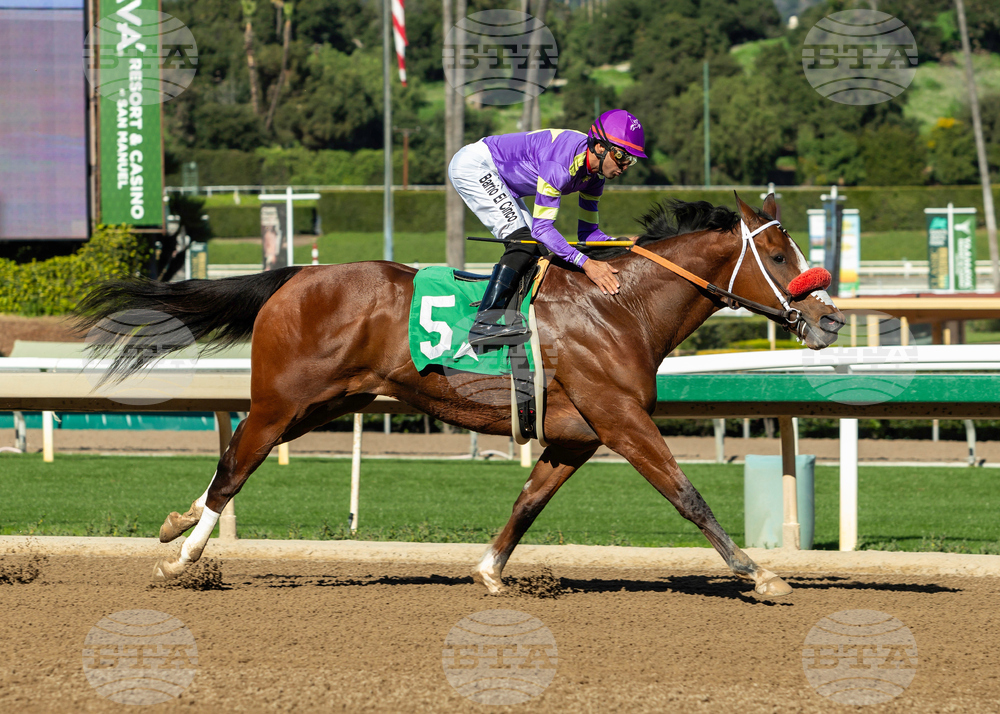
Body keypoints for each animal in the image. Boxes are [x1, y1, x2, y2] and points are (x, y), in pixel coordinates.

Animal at [77, 192, 844, 597]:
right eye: (781, 256)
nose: (830, 318)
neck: (619, 307)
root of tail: (295, 275)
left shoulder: (576, 435)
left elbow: (528, 504)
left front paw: (489, 572)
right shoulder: (621, 419)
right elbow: (688, 496)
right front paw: (760, 573)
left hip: (325, 403)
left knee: (235, 458)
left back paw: (176, 524)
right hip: (283, 400)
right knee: (237, 462)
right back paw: (183, 555)